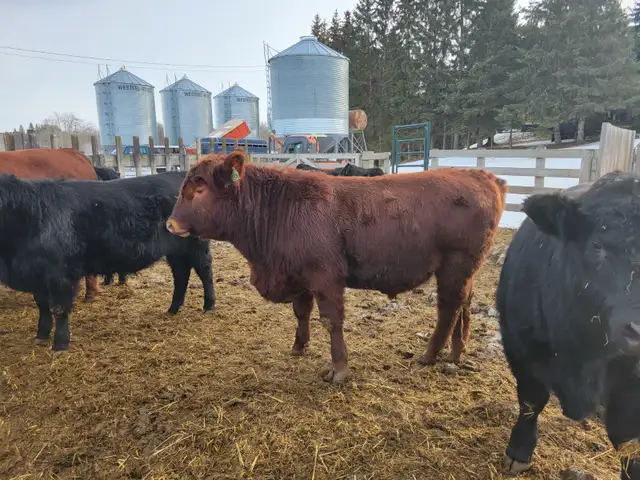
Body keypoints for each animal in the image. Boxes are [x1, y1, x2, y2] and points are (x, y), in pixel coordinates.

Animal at [0, 171, 215, 354]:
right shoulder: (38, 276)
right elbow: (43, 306)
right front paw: (41, 335)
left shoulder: (60, 275)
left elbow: (59, 309)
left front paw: (60, 344)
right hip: (176, 251)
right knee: (181, 275)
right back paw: (173, 309)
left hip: (196, 245)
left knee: (204, 270)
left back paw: (208, 306)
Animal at [166, 150, 507, 384]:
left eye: (200, 189)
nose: (170, 224)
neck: (282, 208)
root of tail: (483, 176)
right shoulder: (300, 276)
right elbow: (301, 312)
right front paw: (298, 346)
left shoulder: (326, 278)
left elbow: (331, 321)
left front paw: (339, 370)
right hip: (465, 271)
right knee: (464, 305)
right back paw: (456, 352)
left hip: (454, 267)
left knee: (448, 309)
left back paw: (430, 355)